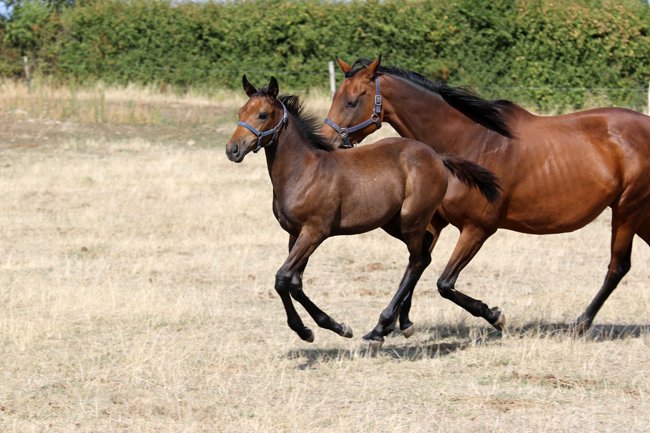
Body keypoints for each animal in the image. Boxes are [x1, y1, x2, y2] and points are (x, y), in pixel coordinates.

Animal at [226, 75, 501, 346]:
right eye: (241, 112)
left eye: (262, 114)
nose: (233, 150)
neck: (304, 170)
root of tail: (437, 156)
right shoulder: (295, 234)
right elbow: (295, 282)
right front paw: (334, 326)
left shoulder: (315, 232)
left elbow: (282, 279)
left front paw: (307, 331)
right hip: (393, 224)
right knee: (423, 254)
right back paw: (412, 321)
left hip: (411, 220)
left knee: (418, 260)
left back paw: (383, 328)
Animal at [321, 55, 650, 334]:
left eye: (352, 101)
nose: (327, 143)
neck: (470, 140)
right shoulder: (432, 221)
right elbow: (417, 263)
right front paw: (394, 324)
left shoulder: (477, 228)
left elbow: (444, 282)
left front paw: (494, 315)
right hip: (639, 215)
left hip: (626, 210)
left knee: (617, 267)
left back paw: (581, 322)